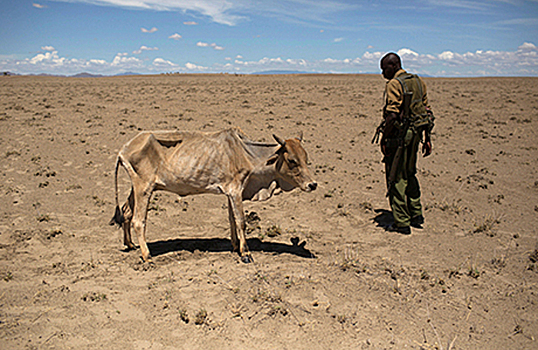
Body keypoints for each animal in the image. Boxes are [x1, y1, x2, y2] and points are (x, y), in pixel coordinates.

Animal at [110, 128, 316, 262]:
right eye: (292, 160)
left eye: (306, 158)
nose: (312, 184)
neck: (246, 154)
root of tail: (123, 149)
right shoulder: (235, 190)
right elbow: (241, 221)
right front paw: (246, 253)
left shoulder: (230, 193)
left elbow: (232, 219)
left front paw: (235, 246)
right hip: (143, 188)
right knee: (138, 221)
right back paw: (146, 255)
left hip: (137, 189)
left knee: (126, 212)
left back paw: (130, 244)